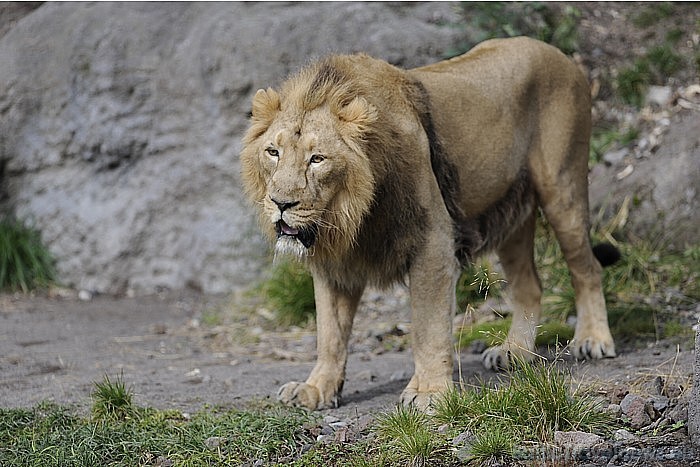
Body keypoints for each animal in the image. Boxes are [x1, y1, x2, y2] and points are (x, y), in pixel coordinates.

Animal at [239, 38, 616, 412]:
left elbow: (428, 326)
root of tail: (559, 54)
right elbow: (330, 333)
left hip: (563, 189)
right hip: (511, 214)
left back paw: (592, 340)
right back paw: (515, 352)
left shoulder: (432, 243)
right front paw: (316, 388)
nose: (281, 204)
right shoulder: (336, 263)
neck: (350, 215)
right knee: (530, 286)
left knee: (587, 268)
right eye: (273, 152)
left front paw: (430, 393)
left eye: (317, 159)